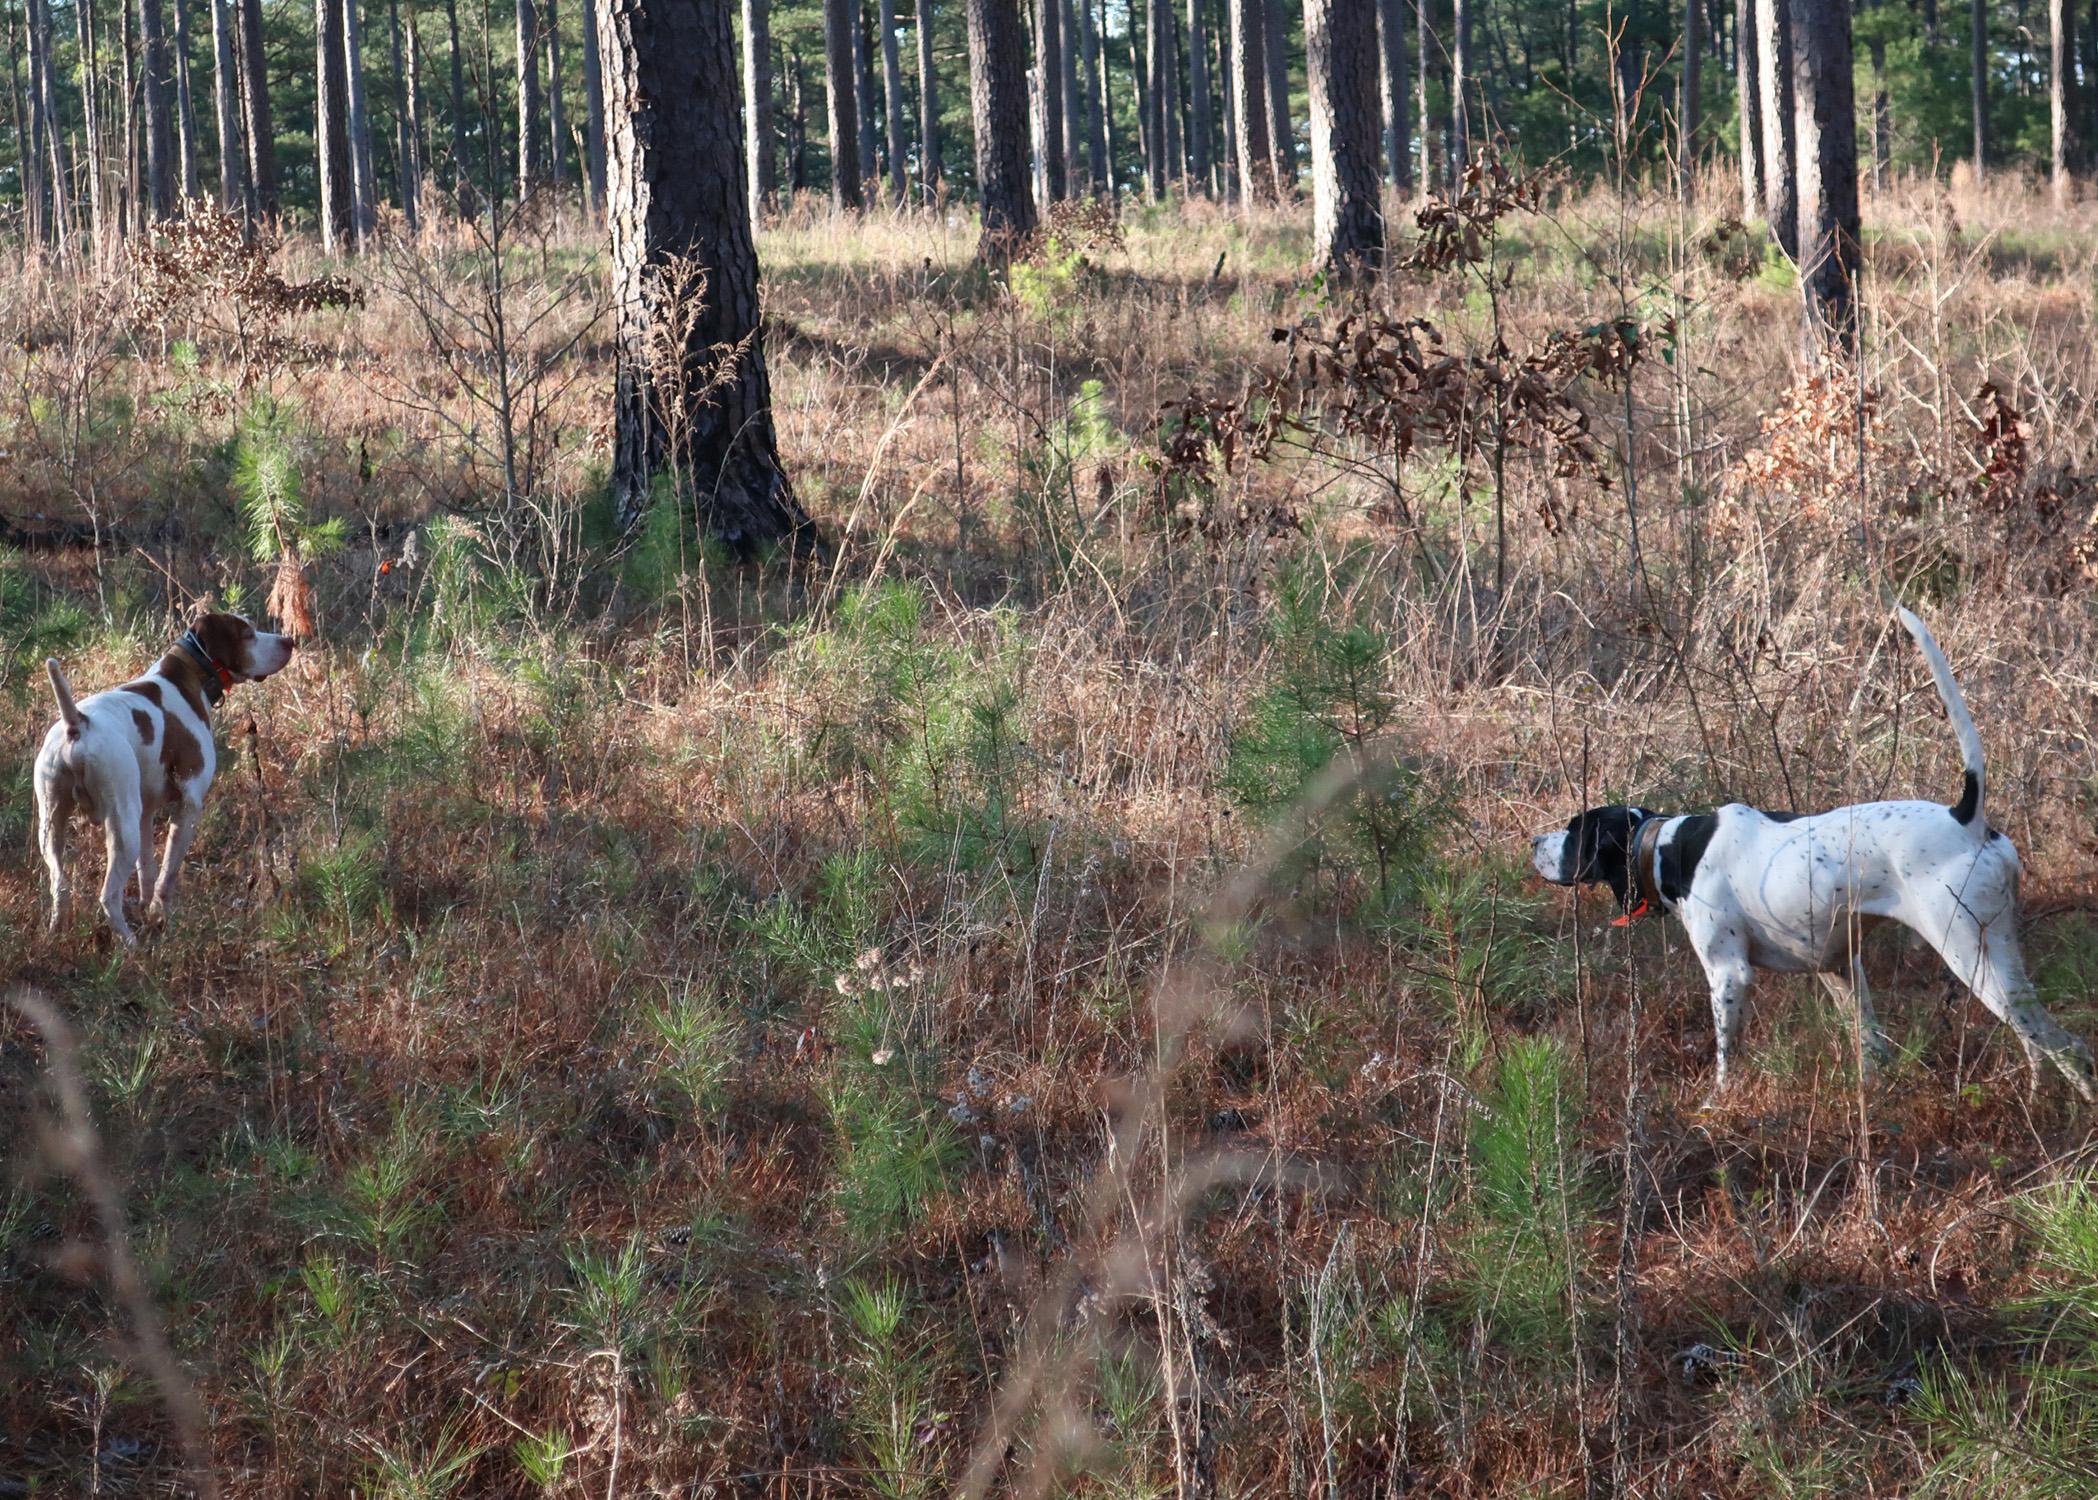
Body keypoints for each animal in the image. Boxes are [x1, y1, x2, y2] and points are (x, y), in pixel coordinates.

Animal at [35, 612, 295, 944]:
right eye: (247, 634)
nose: (289, 641)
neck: (187, 675)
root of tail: (77, 724)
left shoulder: (145, 814)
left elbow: (147, 870)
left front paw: (148, 911)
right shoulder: (189, 805)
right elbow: (167, 874)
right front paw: (162, 916)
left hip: (52, 825)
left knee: (60, 885)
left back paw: (56, 932)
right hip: (121, 828)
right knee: (108, 896)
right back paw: (131, 946)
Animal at [1527, 608, 2098, 1099]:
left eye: (1574, 831)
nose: (1534, 843)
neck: (1670, 847)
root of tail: (1969, 820)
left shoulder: (1729, 974)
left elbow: (1726, 1056)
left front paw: (1717, 1102)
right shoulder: (1839, 967)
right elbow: (1871, 1046)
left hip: (1971, 955)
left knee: (2067, 1045)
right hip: (1998, 955)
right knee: (2035, 1044)